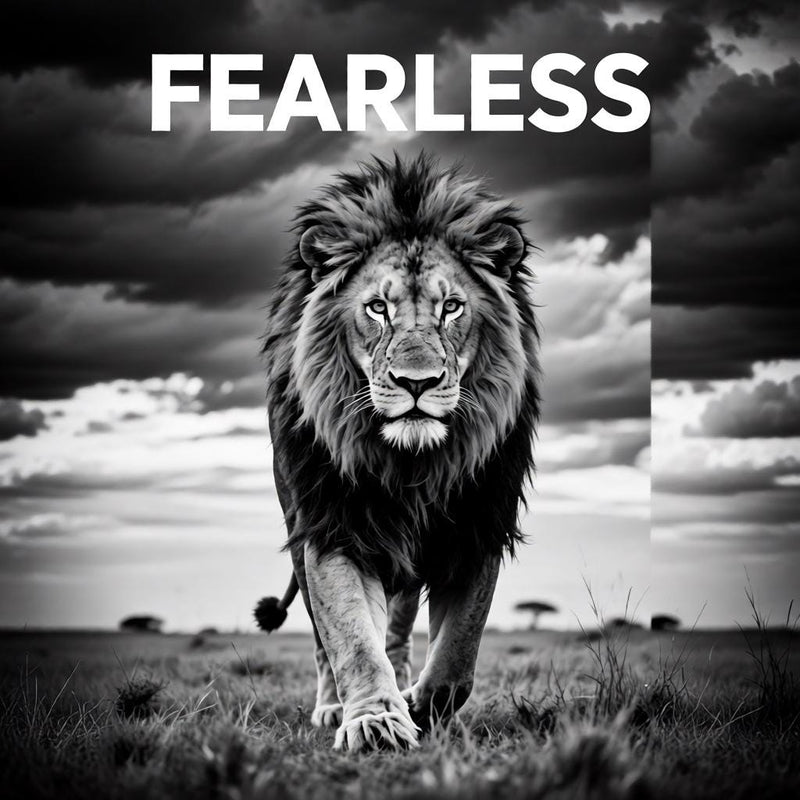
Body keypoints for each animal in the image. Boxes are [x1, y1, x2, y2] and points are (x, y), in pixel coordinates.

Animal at [256, 153, 540, 752]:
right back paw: (332, 707)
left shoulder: (477, 527)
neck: (412, 467)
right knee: (324, 640)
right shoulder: (332, 526)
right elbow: (350, 639)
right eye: (377, 308)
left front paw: (419, 707)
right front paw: (374, 722)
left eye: (452, 307)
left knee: (400, 629)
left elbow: (458, 657)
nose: (417, 382)